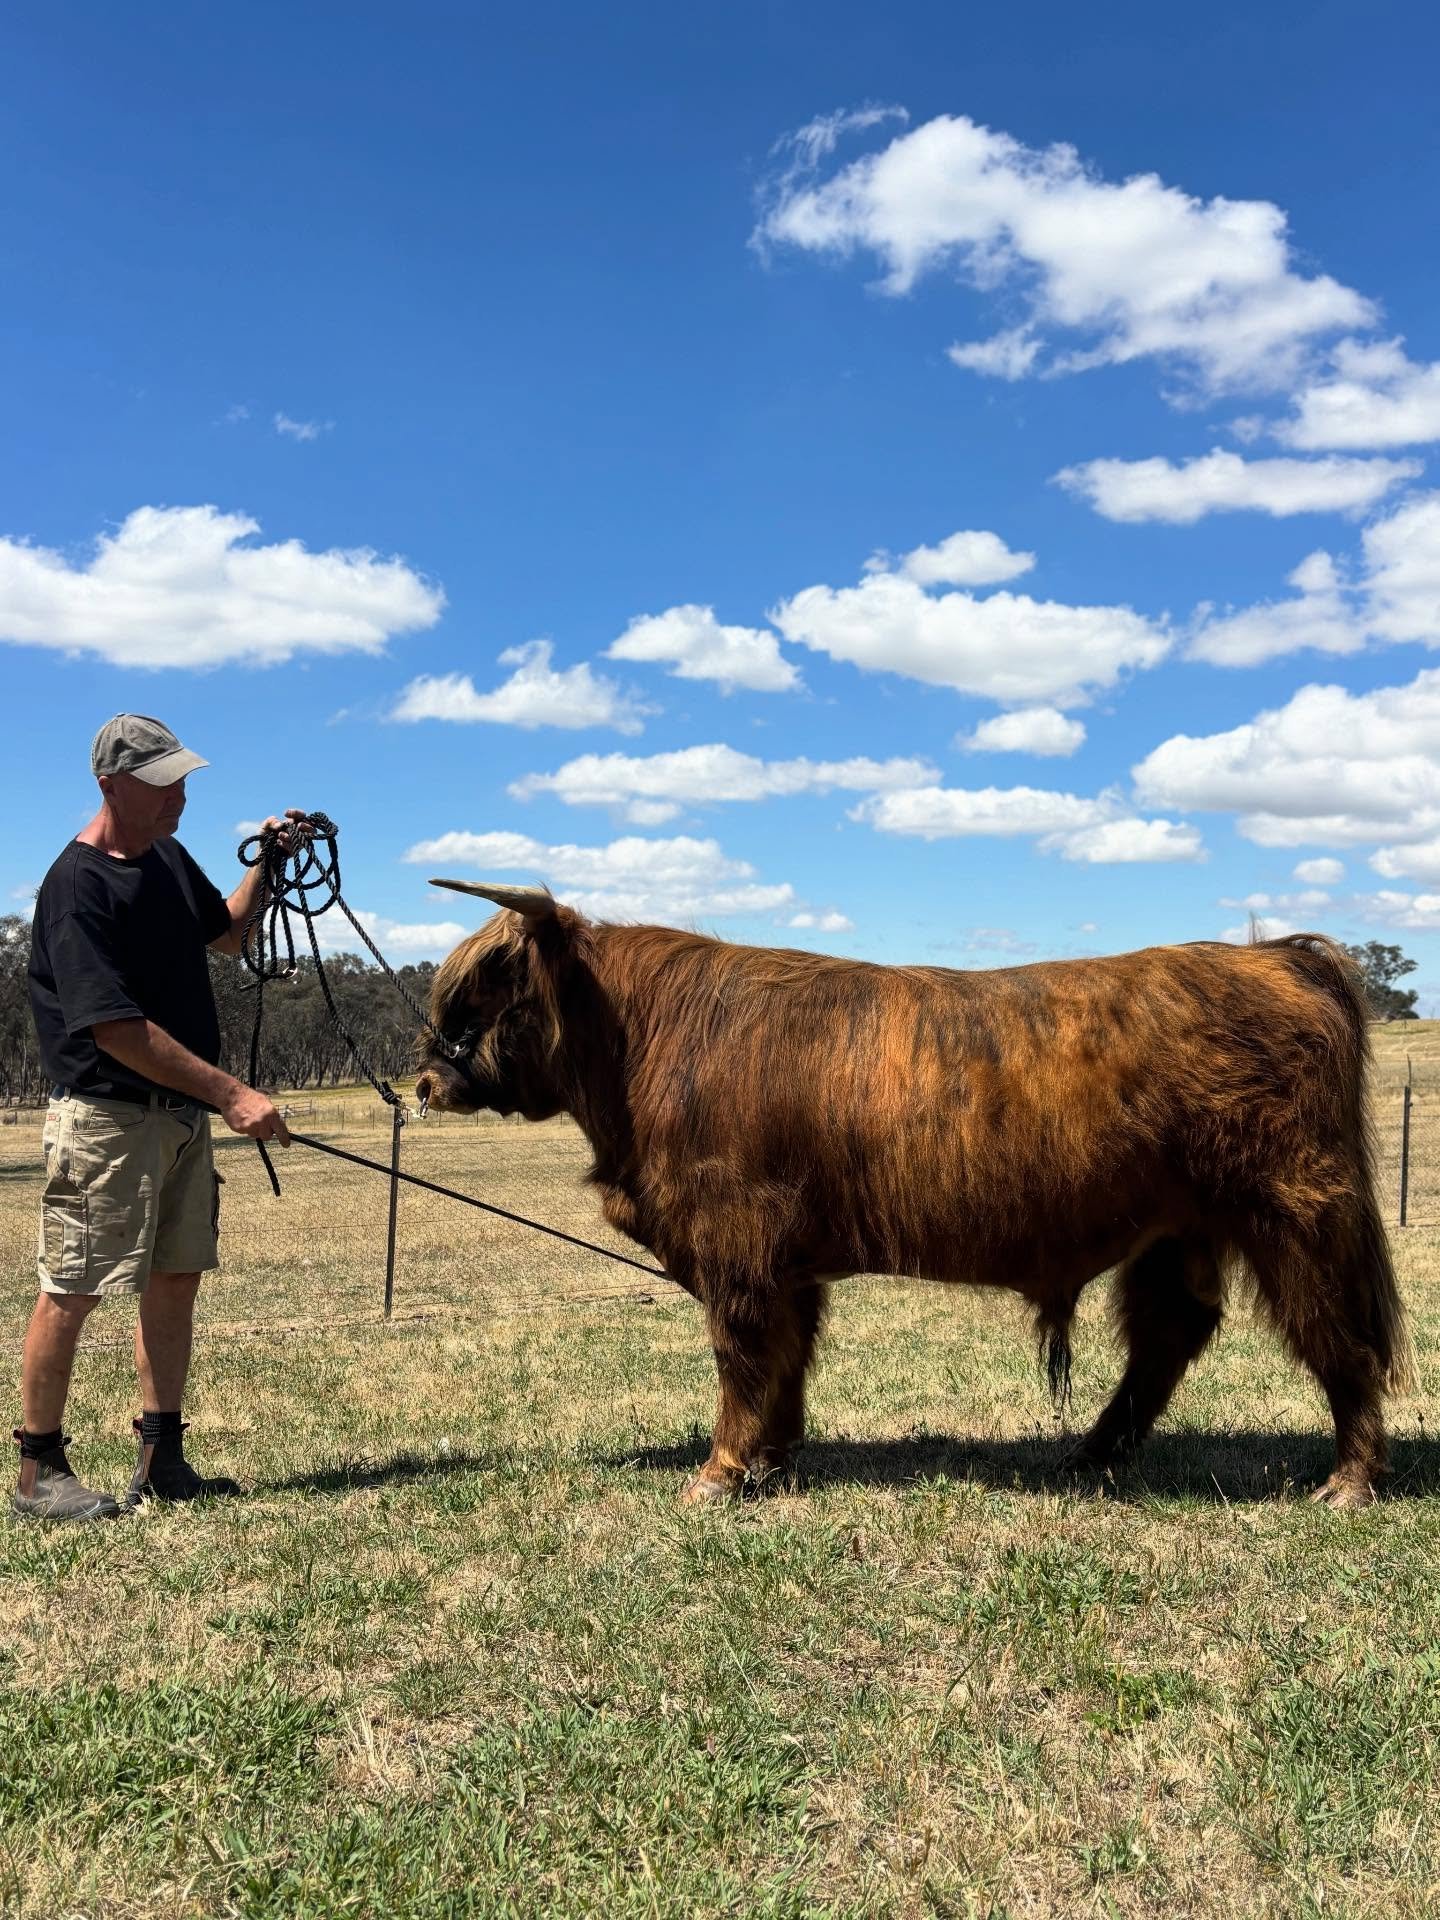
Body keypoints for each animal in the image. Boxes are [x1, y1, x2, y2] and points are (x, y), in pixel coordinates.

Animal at [414, 883, 1413, 1510]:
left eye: (488, 991)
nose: (428, 1076)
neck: (641, 1045)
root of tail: (1274, 955)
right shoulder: (785, 1262)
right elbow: (786, 1359)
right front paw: (773, 1459)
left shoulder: (735, 1243)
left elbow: (743, 1356)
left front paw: (719, 1473)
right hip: (1182, 1229)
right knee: (1169, 1339)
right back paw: (1089, 1454)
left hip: (1298, 1214)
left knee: (1342, 1342)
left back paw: (1348, 1483)